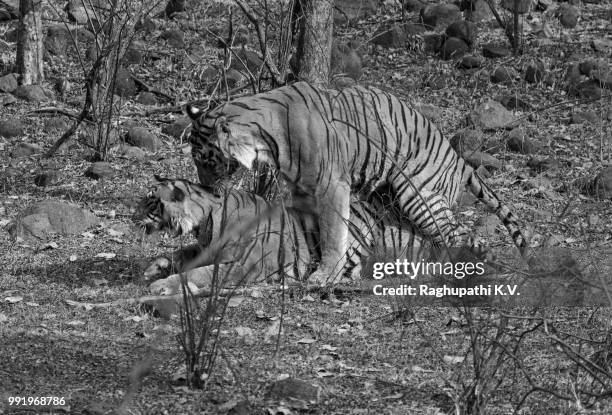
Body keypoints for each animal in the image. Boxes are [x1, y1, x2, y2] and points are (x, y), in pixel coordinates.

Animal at [134, 176, 428, 296]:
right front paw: (152, 267)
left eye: (150, 200)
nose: (130, 213)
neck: (203, 222)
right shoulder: (205, 248)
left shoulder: (242, 265)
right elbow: (179, 254)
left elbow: (195, 273)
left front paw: (160, 285)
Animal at [184, 80, 528, 286]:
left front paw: (325, 274)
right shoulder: (301, 187)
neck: (264, 137)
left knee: (459, 235)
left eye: (206, 159)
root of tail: (458, 158)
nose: (206, 187)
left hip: (420, 198)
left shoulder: (331, 184)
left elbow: (333, 231)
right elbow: (308, 227)